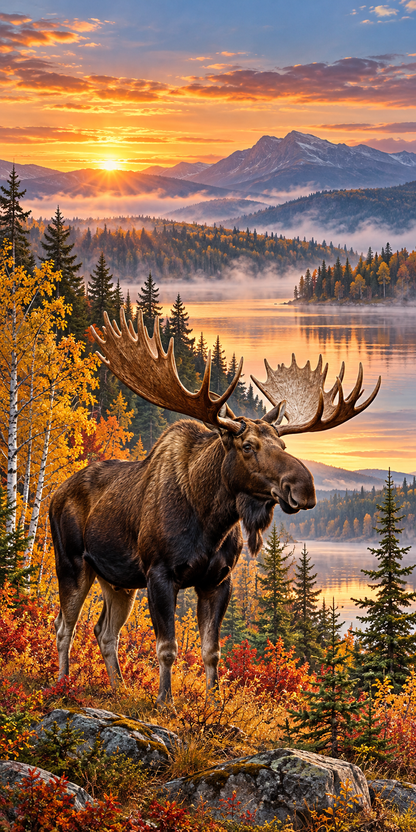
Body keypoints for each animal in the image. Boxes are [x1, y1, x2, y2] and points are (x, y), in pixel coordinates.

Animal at [50, 309, 380, 705]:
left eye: (283, 446)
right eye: (248, 446)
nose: (304, 488)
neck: (211, 521)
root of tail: (54, 494)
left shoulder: (217, 580)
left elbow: (212, 650)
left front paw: (215, 701)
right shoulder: (159, 573)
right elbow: (168, 648)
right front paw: (165, 702)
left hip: (117, 579)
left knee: (104, 631)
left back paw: (119, 689)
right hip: (72, 564)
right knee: (64, 626)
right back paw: (63, 685)